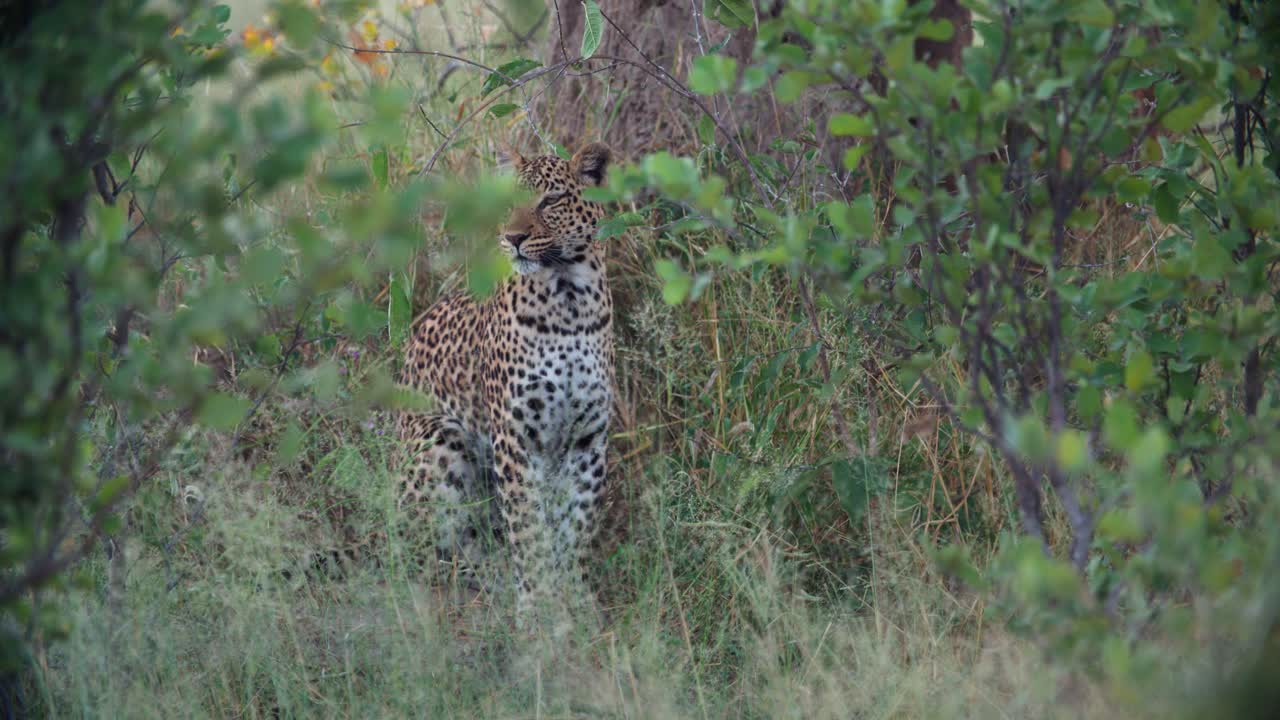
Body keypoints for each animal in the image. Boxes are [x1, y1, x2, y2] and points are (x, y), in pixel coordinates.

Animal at [396, 141, 615, 621]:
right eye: (507, 202)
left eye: (550, 200)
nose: (513, 238)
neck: (568, 296)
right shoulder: (516, 437)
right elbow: (529, 529)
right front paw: (537, 606)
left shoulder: (588, 438)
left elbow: (577, 524)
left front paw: (575, 600)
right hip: (441, 439)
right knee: (421, 553)